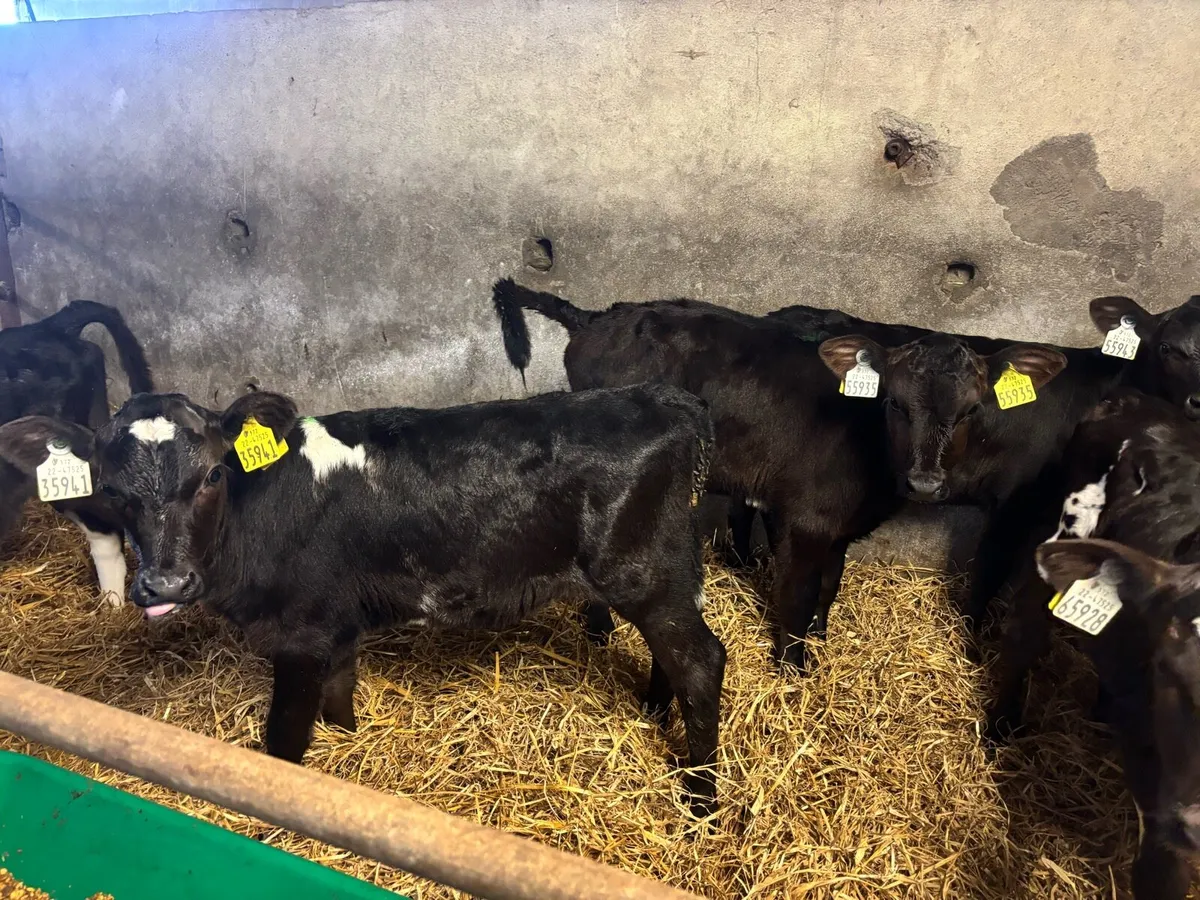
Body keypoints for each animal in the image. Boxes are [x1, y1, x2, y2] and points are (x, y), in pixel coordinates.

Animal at [0, 384, 727, 817]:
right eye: (112, 489)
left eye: (210, 474)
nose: (166, 586)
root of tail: (659, 398)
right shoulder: (334, 617)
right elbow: (340, 690)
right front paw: (347, 744)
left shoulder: (299, 631)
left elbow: (284, 738)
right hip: (660, 578)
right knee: (671, 654)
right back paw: (654, 712)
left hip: (643, 572)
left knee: (702, 661)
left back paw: (700, 797)